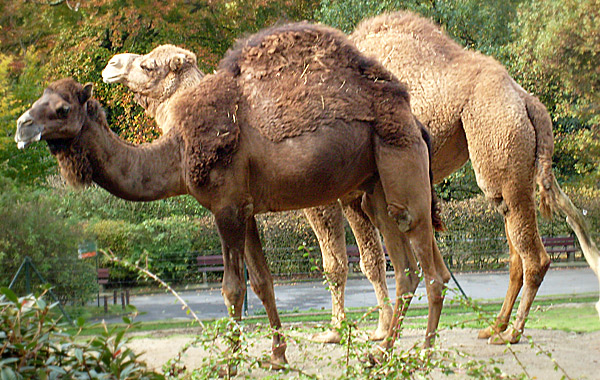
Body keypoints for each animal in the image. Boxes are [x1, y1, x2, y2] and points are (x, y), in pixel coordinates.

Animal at [14, 20, 448, 366]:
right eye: (39, 100)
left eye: (62, 109)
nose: (21, 126)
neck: (178, 151)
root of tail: (414, 121)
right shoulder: (246, 208)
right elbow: (263, 284)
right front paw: (277, 357)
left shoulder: (226, 208)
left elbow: (233, 288)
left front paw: (230, 363)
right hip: (376, 187)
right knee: (407, 269)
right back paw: (380, 354)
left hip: (400, 163)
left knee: (428, 269)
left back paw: (423, 356)